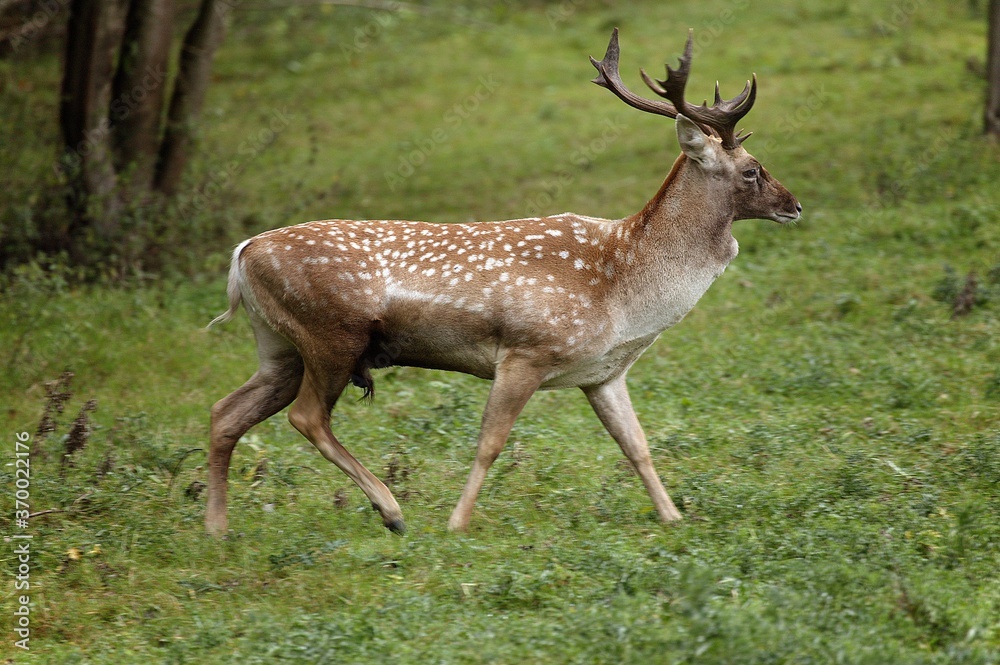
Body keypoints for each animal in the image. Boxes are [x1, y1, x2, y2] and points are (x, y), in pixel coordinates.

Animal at [207, 29, 800, 536]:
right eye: (752, 170)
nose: (794, 205)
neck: (625, 288)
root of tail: (242, 254)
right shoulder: (526, 350)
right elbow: (489, 443)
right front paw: (457, 524)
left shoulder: (603, 372)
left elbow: (637, 446)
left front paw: (674, 517)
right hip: (330, 334)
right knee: (307, 417)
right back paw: (392, 511)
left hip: (280, 344)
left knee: (225, 413)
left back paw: (217, 529)